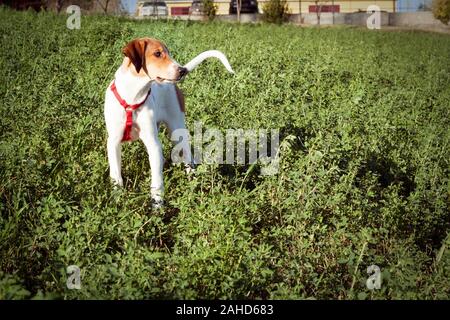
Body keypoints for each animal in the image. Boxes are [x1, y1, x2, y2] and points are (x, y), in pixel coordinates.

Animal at [104, 38, 234, 208]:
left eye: (168, 53)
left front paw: (157, 205)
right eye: (157, 54)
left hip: (178, 132)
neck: (133, 98)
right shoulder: (113, 142)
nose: (182, 70)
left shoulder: (153, 143)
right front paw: (117, 199)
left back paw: (193, 183)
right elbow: (116, 175)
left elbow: (157, 180)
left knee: (188, 158)